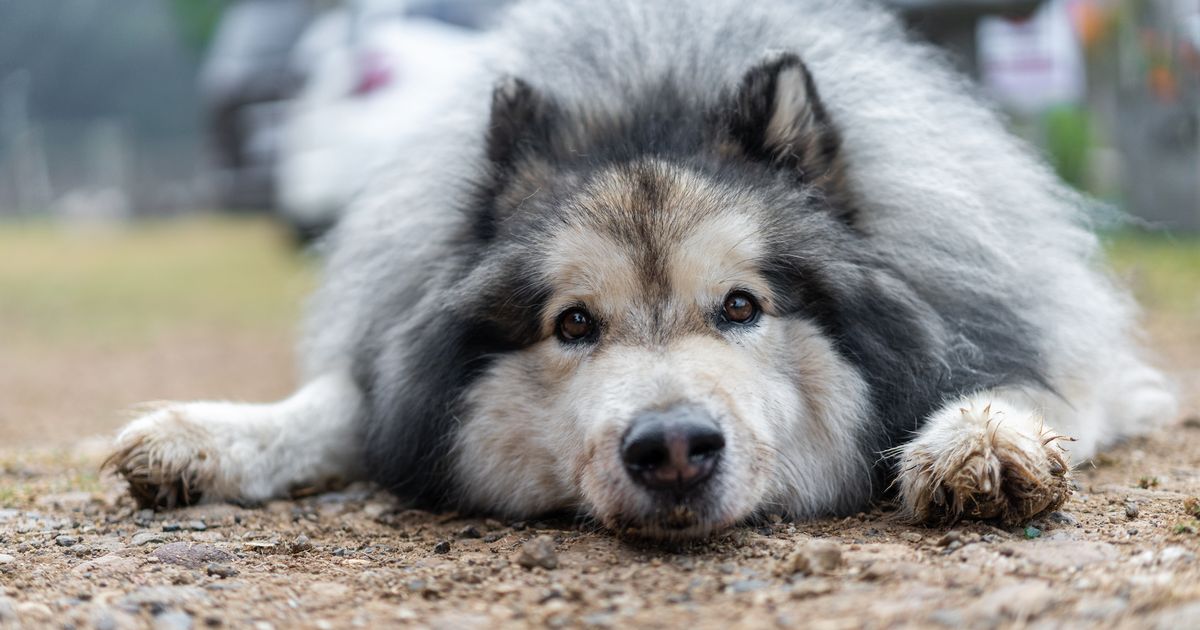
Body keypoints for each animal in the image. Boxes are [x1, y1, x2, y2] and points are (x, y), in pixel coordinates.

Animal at [103, 1, 1171, 540]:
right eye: (574, 323)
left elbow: (1027, 385)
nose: (673, 449)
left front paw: (980, 439)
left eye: (741, 306)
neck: (654, 92)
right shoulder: (396, 371)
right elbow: (339, 404)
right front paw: (207, 436)